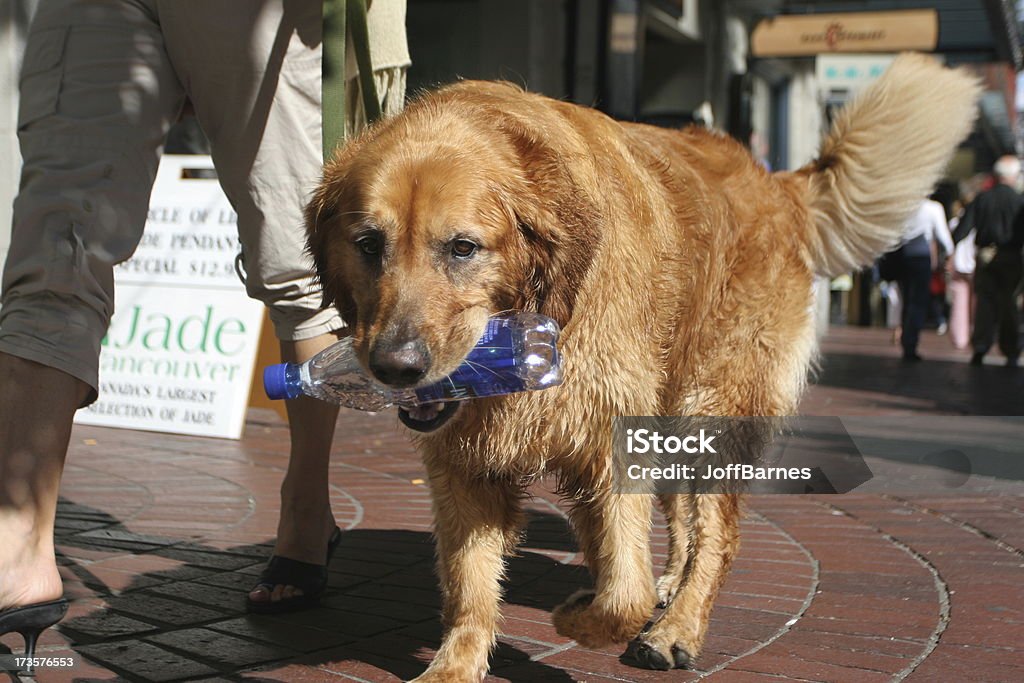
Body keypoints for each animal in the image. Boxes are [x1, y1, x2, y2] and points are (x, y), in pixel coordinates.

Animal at [307, 56, 978, 679]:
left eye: (463, 248)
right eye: (369, 245)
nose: (396, 366)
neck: (542, 314)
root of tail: (771, 180)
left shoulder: (608, 435)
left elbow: (620, 594)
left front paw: (582, 615)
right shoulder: (464, 459)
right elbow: (470, 581)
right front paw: (453, 666)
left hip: (715, 404)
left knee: (718, 534)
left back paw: (677, 627)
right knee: (682, 517)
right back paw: (672, 587)